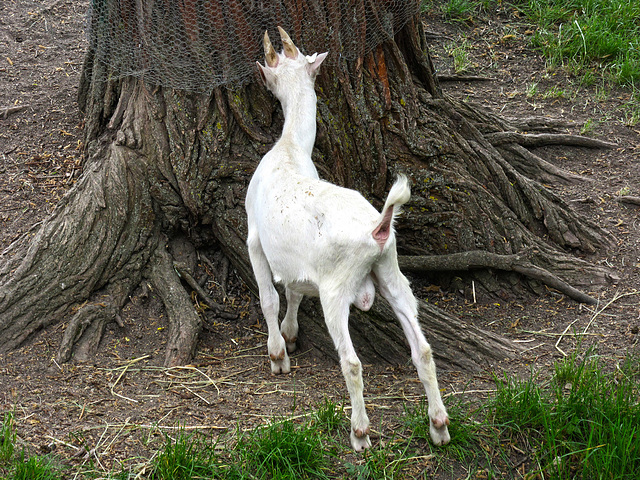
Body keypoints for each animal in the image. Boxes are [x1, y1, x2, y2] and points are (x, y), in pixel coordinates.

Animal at [245, 26, 450, 452]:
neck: (288, 151)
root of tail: (379, 229)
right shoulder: (299, 264)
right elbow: (293, 290)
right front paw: (290, 335)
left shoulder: (254, 237)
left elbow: (269, 296)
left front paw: (277, 355)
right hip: (392, 273)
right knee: (422, 349)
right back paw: (439, 425)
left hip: (337, 289)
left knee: (352, 362)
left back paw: (360, 432)